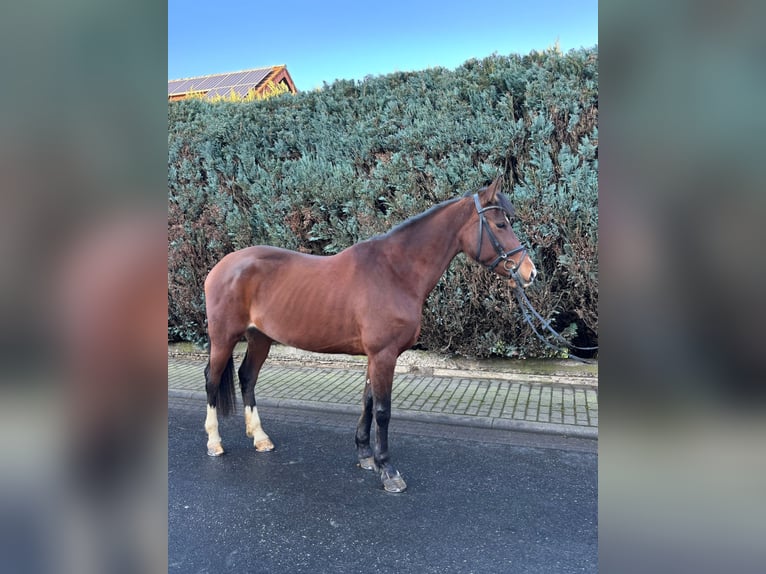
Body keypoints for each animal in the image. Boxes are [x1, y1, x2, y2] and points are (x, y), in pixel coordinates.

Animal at [204, 179, 540, 496]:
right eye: (500, 224)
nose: (530, 272)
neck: (394, 272)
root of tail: (221, 266)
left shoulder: (375, 356)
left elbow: (366, 401)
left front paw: (366, 455)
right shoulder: (384, 355)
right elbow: (382, 410)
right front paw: (388, 470)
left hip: (259, 338)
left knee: (247, 377)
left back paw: (260, 438)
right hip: (223, 338)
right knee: (212, 379)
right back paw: (214, 442)